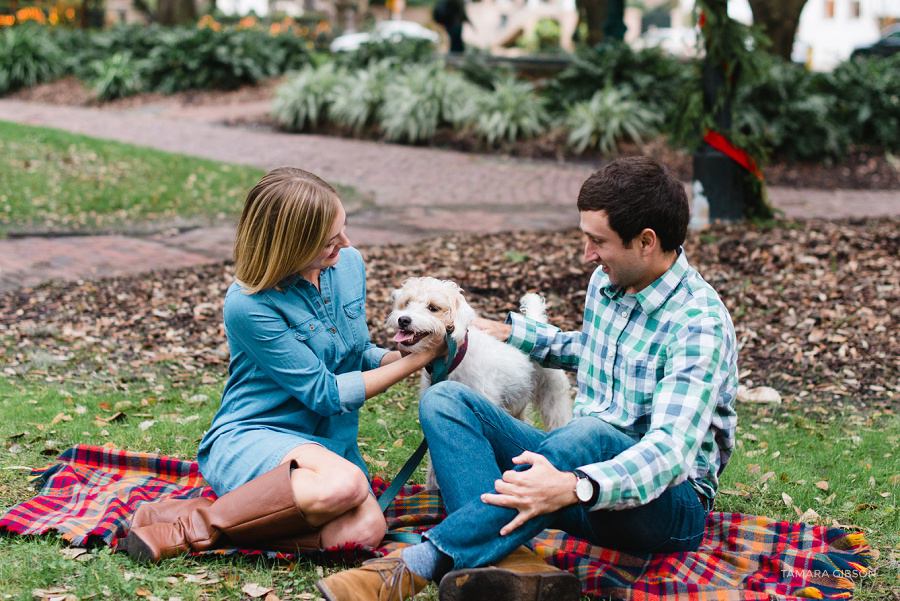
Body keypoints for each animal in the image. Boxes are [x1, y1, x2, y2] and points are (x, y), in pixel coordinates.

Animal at [384, 276, 568, 488]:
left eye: (433, 308)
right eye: (407, 303)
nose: (403, 319)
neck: (453, 361)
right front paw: (432, 489)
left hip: (554, 404)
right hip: (517, 406)